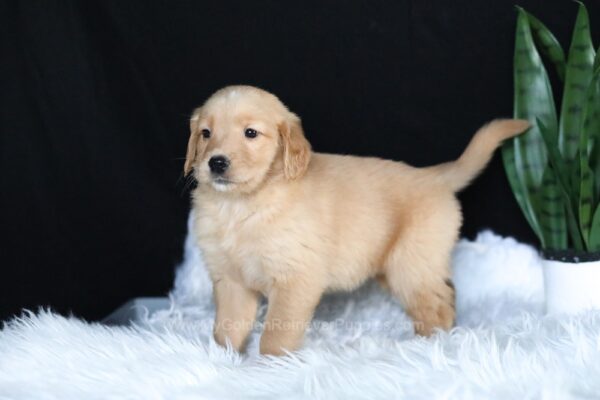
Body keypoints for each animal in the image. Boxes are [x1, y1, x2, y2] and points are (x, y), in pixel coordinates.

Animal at [184, 85, 528, 356]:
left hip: (412, 265)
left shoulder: (296, 278)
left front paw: (271, 368)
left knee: (438, 305)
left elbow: (275, 334)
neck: (239, 206)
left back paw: (429, 346)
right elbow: (227, 328)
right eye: (205, 133)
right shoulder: (230, 280)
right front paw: (223, 360)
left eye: (251, 133)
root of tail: (434, 176)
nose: (216, 162)